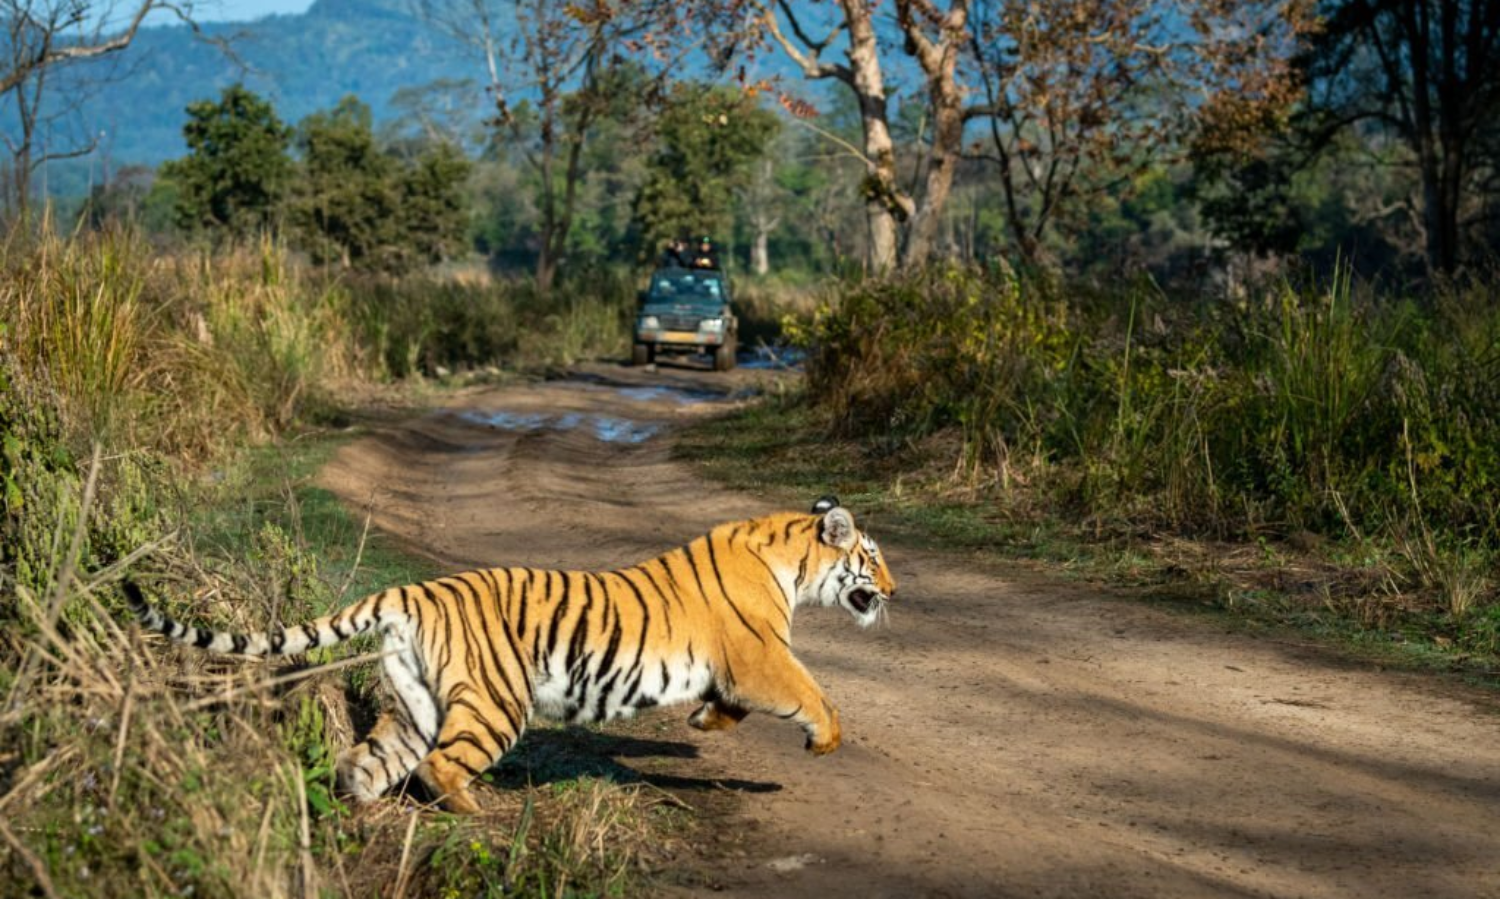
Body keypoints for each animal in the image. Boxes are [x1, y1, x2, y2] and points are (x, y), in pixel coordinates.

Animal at [123, 496, 894, 814]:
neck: (792, 561)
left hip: (414, 701)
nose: (893, 589)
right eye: (872, 557)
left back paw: (361, 812)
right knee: (438, 766)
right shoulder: (761, 655)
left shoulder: (738, 667)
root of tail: (413, 588)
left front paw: (705, 723)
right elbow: (812, 691)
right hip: (497, 700)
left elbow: (731, 705)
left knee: (366, 761)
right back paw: (479, 813)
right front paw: (826, 740)